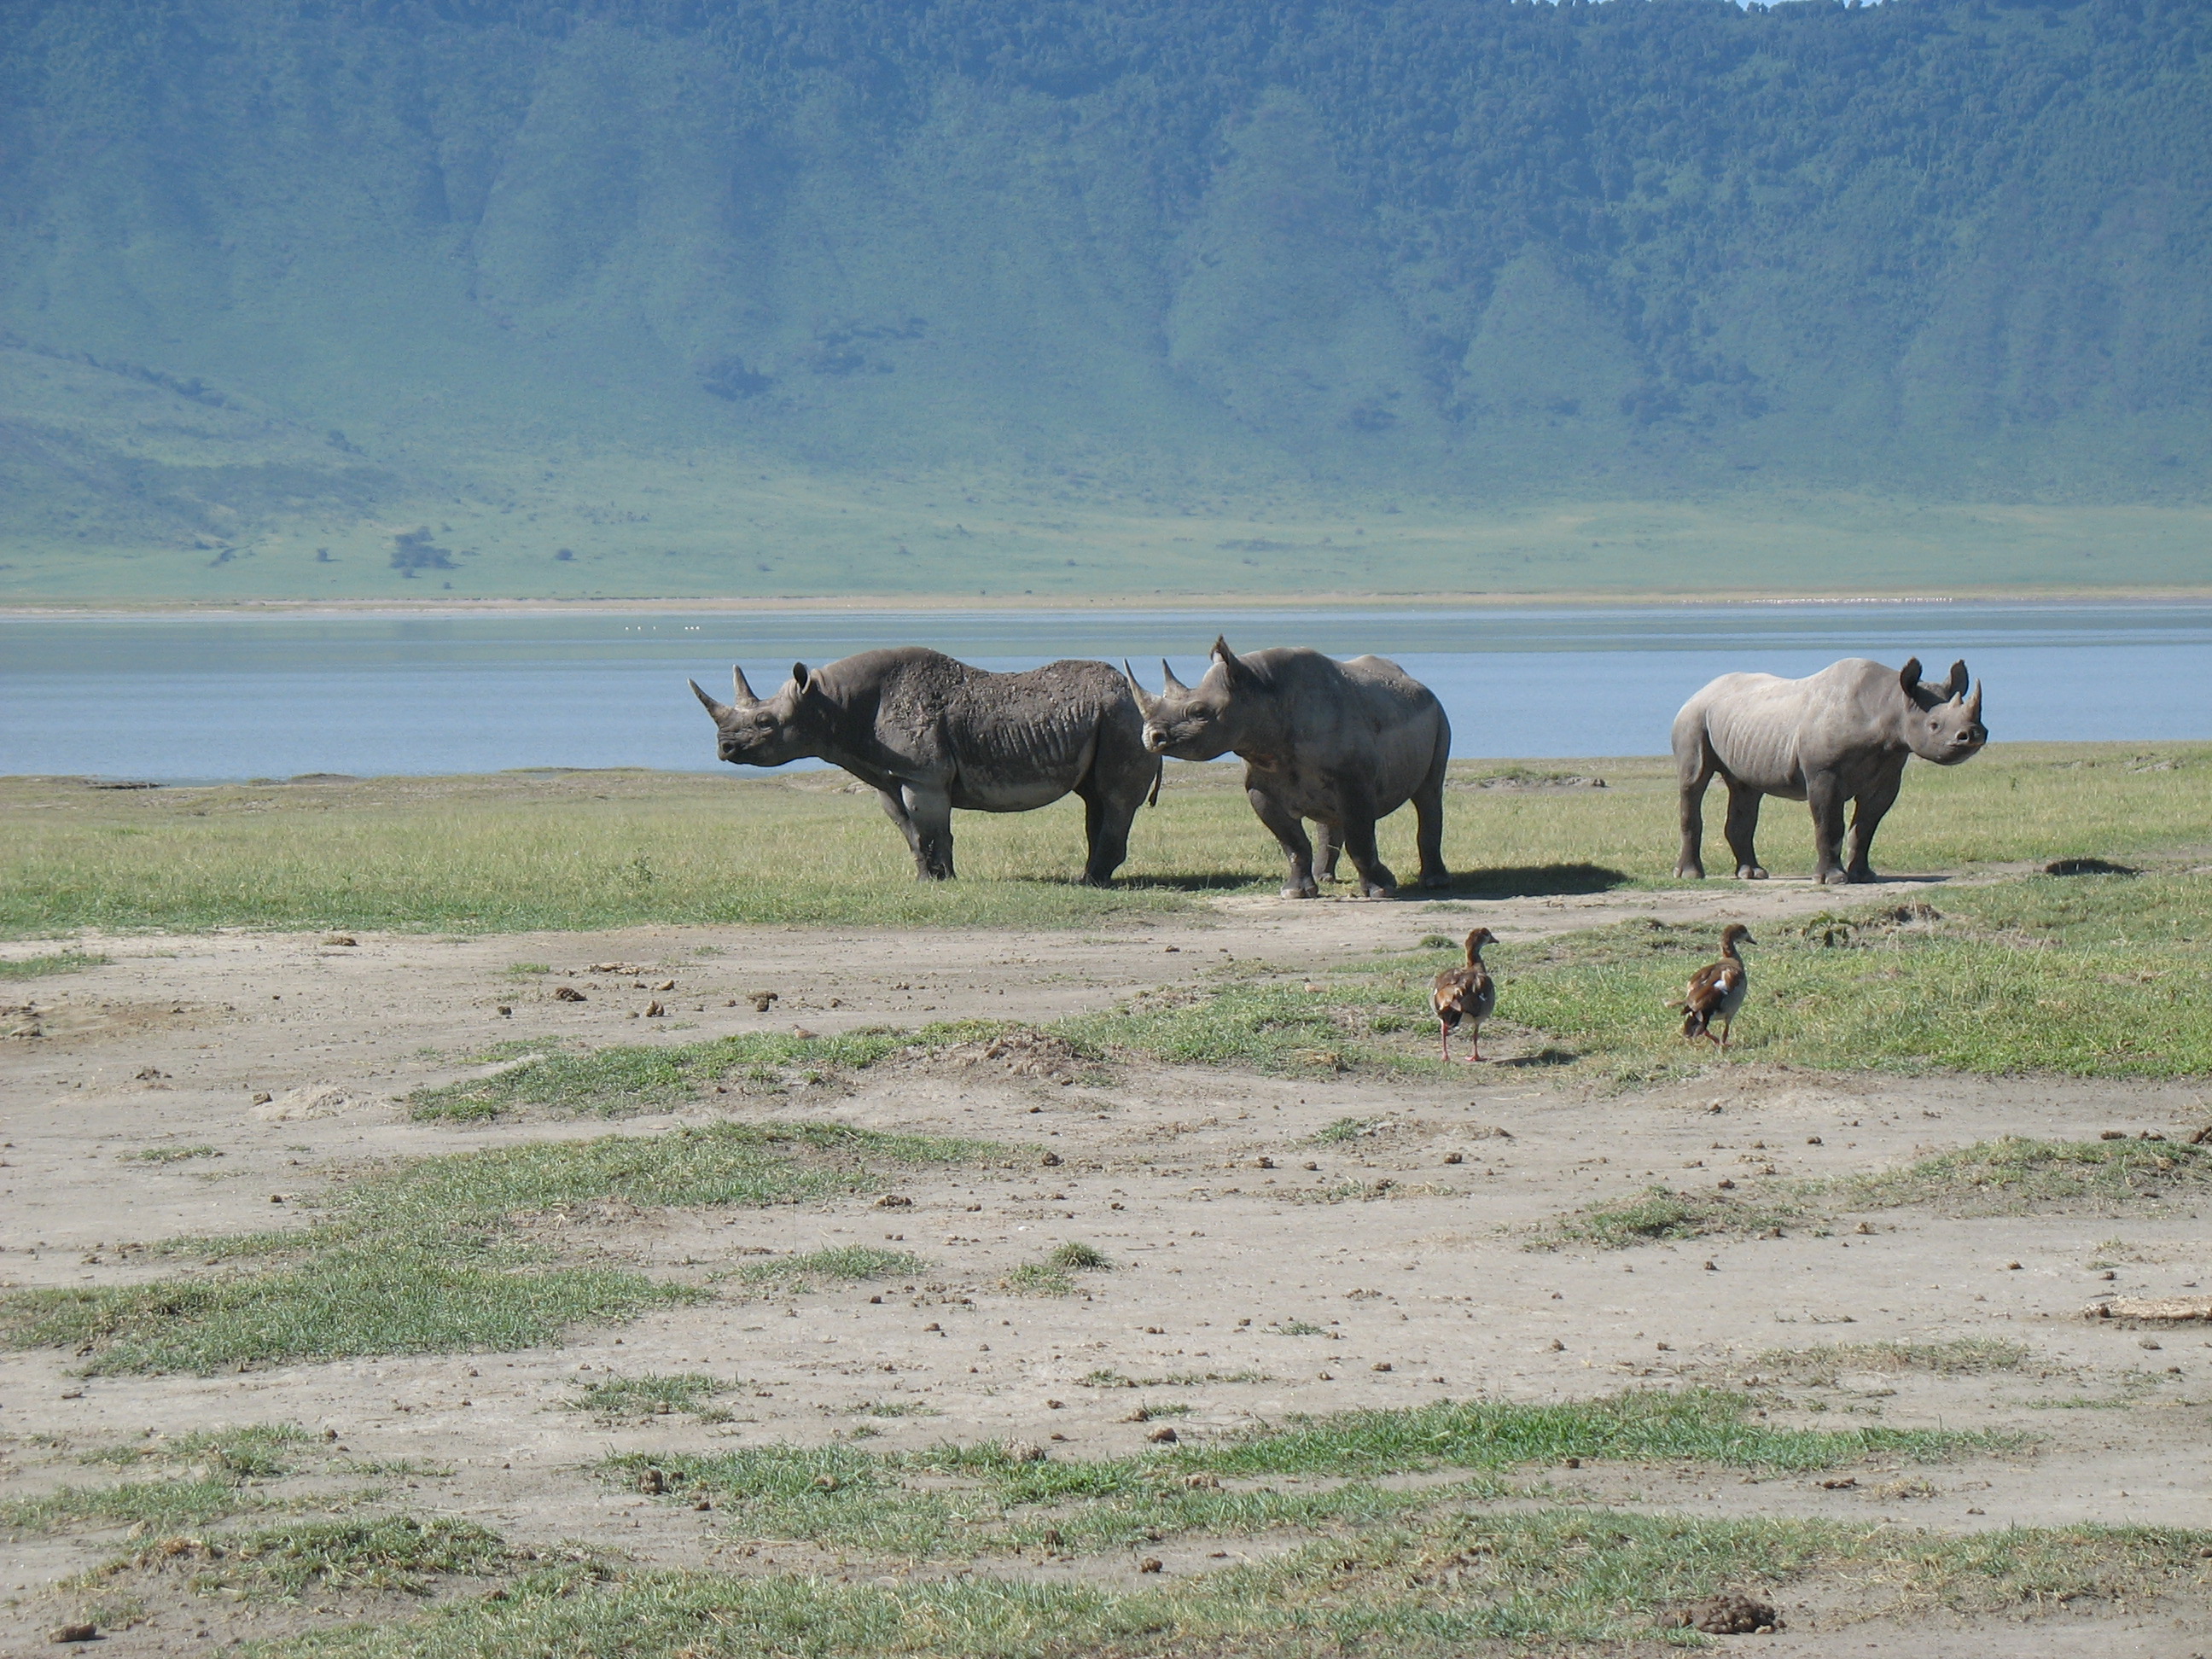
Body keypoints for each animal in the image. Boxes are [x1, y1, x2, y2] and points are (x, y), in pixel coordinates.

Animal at [694, 650, 1167, 888]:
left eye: (765, 723)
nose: (724, 748)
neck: (829, 704)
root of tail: (1142, 696)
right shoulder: (887, 776)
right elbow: (911, 831)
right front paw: (930, 879)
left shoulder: (923, 775)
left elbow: (930, 829)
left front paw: (941, 882)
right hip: (1111, 718)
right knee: (1094, 799)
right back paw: (1089, 876)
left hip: (1122, 718)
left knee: (1113, 799)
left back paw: (1092, 883)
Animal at [1132, 641, 1459, 902]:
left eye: (1199, 712)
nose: (1151, 736)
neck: (1261, 694)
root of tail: (1417, 683)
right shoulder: (1260, 785)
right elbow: (1291, 841)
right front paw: (1296, 892)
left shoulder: (1355, 782)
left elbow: (1360, 836)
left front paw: (1382, 891)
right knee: (1331, 816)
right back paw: (1326, 877)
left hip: (1439, 715)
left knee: (1428, 794)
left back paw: (1434, 882)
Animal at [1672, 659, 1990, 888]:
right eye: (1934, 725)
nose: (1974, 735)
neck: (1888, 705)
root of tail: (1699, 692)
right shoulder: (1823, 774)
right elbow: (1829, 824)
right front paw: (1832, 880)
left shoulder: (1888, 773)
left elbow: (1866, 826)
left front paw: (1864, 876)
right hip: (1693, 718)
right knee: (1693, 782)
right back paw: (1691, 875)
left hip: (1742, 725)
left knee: (1746, 788)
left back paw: (1752, 873)